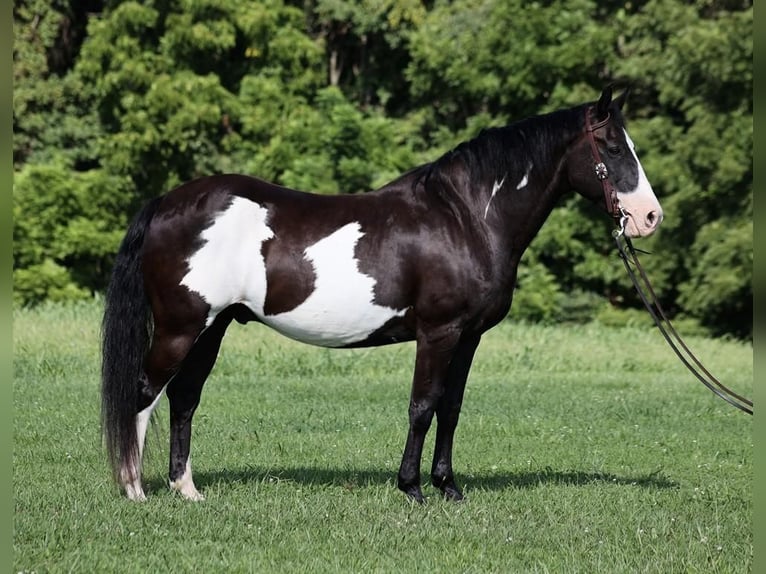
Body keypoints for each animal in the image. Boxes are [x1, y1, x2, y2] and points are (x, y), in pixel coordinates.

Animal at [102, 86, 664, 504]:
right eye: (614, 149)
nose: (650, 217)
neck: (466, 218)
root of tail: (166, 203)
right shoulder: (439, 332)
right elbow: (422, 404)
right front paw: (412, 488)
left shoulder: (469, 337)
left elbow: (451, 407)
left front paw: (448, 487)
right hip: (180, 327)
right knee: (145, 391)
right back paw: (134, 490)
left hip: (212, 327)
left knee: (184, 396)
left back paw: (187, 490)